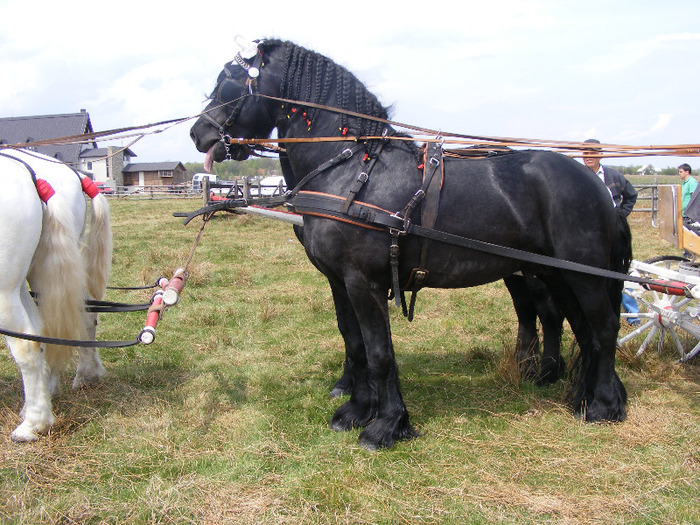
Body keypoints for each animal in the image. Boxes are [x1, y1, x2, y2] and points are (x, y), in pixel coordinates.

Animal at [190, 40, 628, 450]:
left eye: (229, 82)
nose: (198, 133)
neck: (352, 168)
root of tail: (598, 188)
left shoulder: (363, 281)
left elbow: (380, 351)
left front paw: (386, 425)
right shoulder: (341, 281)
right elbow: (357, 343)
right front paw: (356, 411)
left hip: (582, 275)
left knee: (603, 328)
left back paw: (603, 406)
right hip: (557, 275)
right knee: (582, 330)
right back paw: (582, 398)